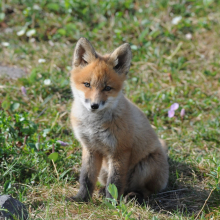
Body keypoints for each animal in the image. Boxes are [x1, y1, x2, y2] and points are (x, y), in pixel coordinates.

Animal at [69, 37, 169, 204]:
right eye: (87, 84)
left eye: (107, 88)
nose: (94, 105)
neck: (93, 125)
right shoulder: (90, 148)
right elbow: (86, 178)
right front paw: (81, 198)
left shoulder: (120, 151)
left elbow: (115, 182)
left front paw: (111, 204)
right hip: (104, 170)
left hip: (145, 166)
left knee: (147, 191)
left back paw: (134, 196)